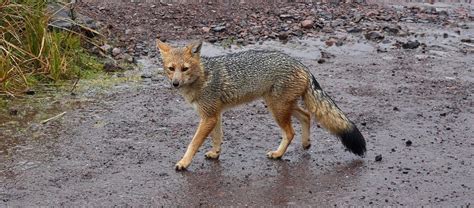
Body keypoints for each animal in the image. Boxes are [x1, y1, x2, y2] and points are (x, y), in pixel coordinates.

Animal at [156, 39, 366, 171]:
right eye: (171, 69)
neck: (203, 76)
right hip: (282, 106)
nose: (175, 83)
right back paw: (305, 144)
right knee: (306, 115)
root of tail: (301, 65)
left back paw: (278, 154)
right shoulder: (214, 115)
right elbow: (217, 137)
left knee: (290, 132)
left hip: (277, 109)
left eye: (185, 69)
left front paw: (184, 163)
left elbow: (193, 143)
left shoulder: (208, 117)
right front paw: (215, 153)